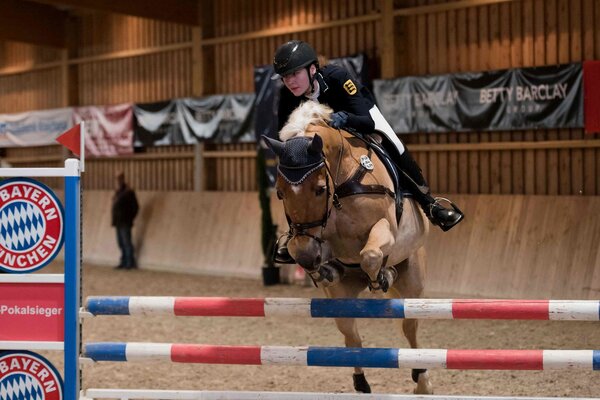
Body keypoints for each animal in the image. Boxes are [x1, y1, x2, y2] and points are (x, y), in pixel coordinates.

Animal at [262, 101, 433, 395]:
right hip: (342, 298)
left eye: (320, 189)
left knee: (410, 328)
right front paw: (321, 271)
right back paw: (361, 382)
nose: (311, 257)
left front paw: (382, 277)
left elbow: (371, 254)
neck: (341, 185)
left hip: (412, 285)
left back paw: (422, 382)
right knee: (351, 336)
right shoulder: (313, 240)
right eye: (280, 193)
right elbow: (300, 251)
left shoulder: (385, 229)